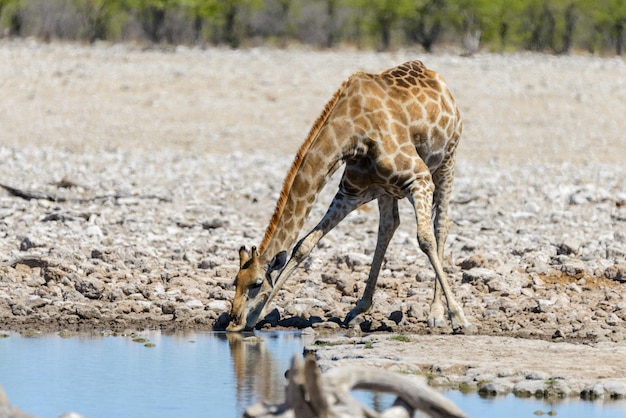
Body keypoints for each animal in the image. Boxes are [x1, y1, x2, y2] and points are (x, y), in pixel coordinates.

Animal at [225, 59, 468, 334]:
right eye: (235, 281)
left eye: (256, 283)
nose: (233, 321)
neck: (351, 135)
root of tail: (433, 75)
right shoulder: (351, 193)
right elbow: (303, 245)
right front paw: (256, 317)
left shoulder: (419, 177)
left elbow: (425, 239)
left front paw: (458, 317)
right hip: (387, 190)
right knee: (388, 226)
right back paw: (359, 307)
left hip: (447, 161)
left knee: (440, 226)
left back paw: (436, 313)